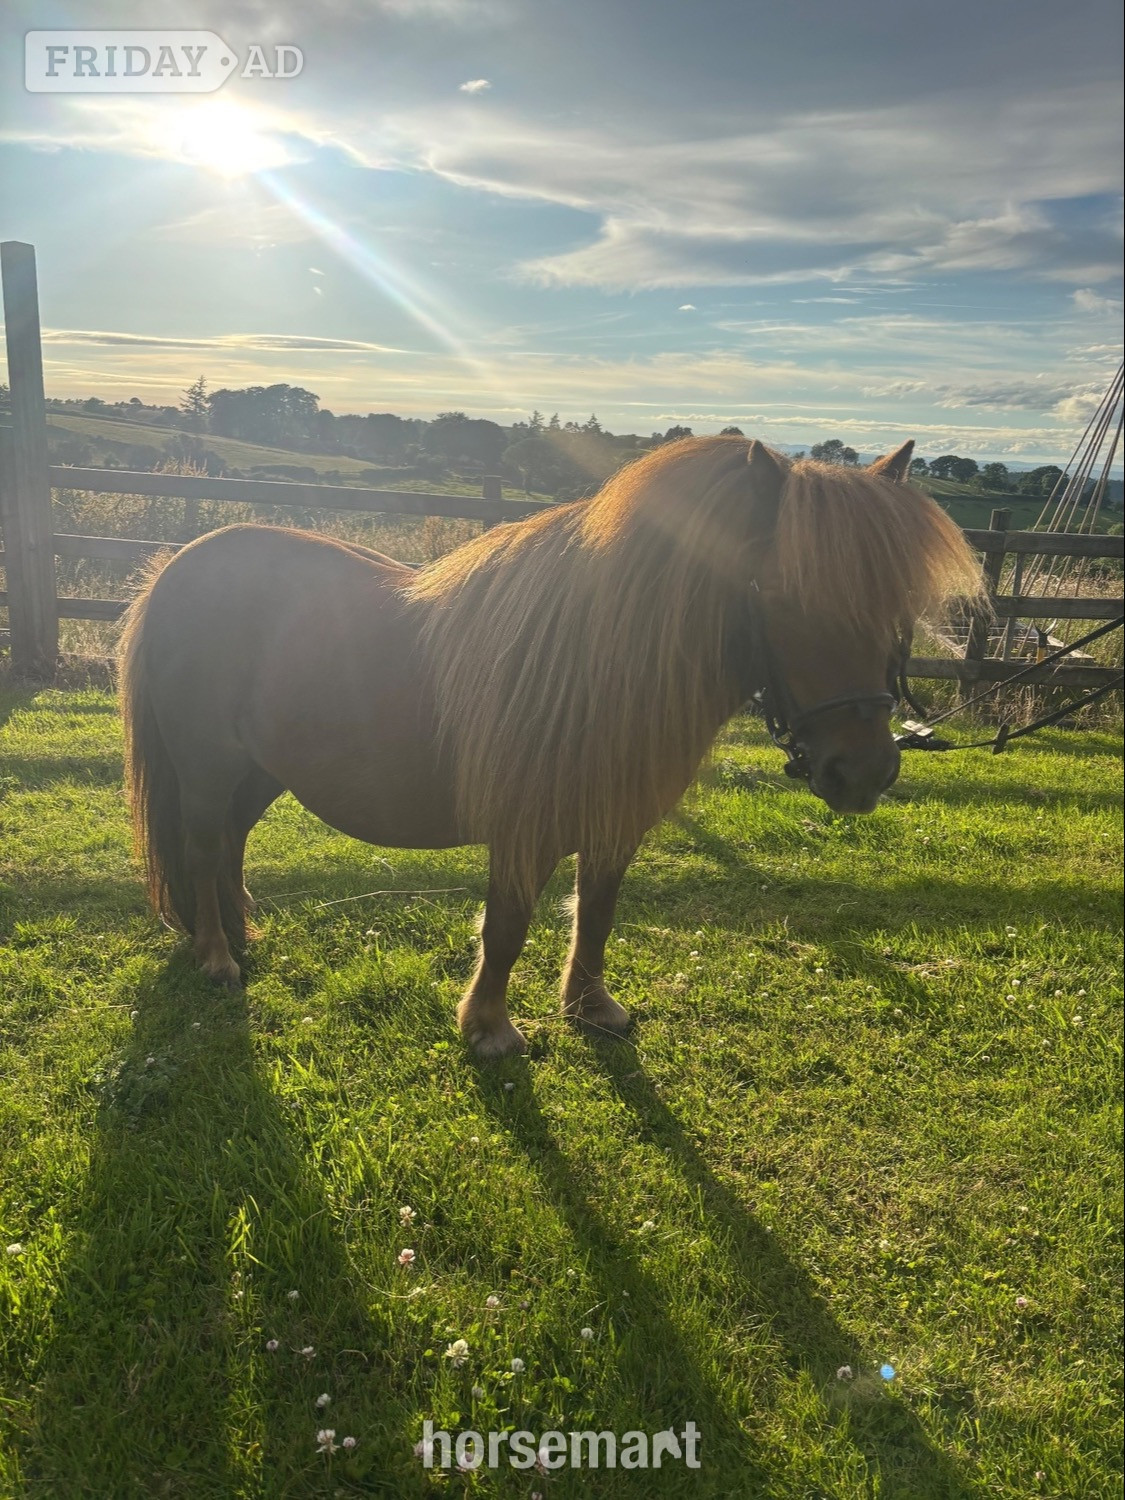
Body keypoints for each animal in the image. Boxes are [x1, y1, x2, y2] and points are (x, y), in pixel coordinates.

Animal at [119, 436, 980, 1056]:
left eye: (898, 604)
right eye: (787, 595)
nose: (865, 771)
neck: (596, 657)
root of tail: (179, 566)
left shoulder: (613, 821)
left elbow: (594, 913)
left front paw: (592, 1008)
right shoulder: (521, 826)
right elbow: (507, 925)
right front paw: (490, 1029)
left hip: (259, 770)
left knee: (229, 845)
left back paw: (240, 931)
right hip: (206, 767)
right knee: (203, 846)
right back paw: (218, 957)